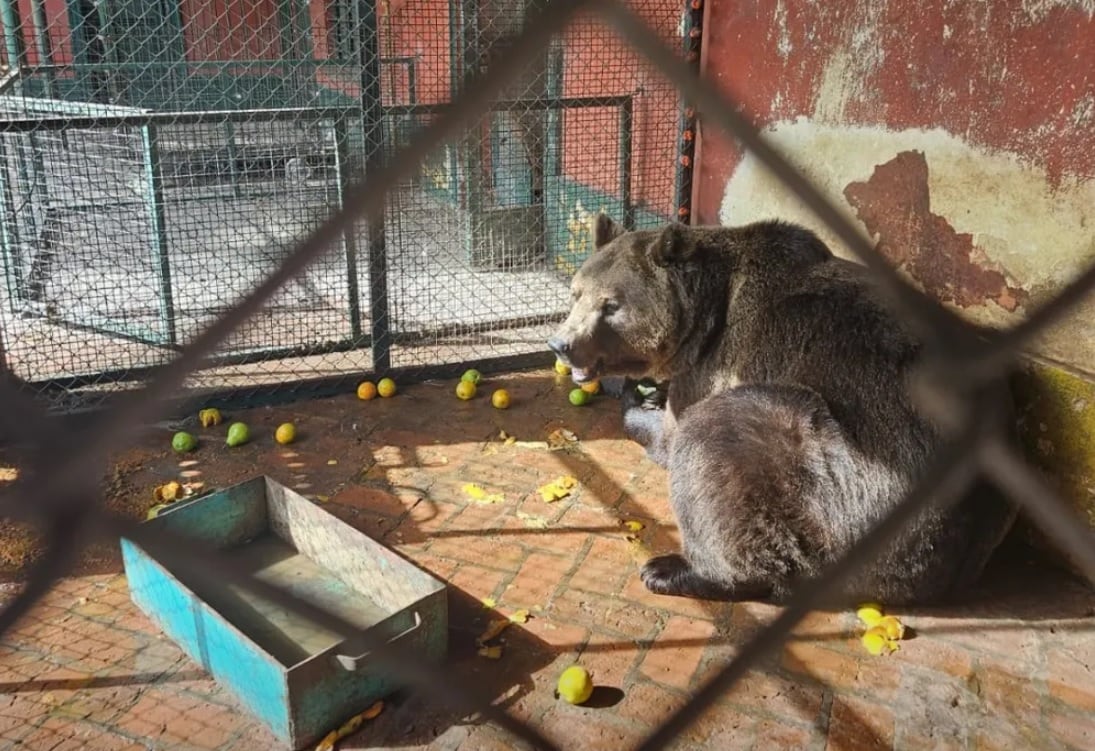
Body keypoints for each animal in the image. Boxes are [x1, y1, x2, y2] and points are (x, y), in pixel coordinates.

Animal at [548, 215, 1018, 606]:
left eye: (611, 305)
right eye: (575, 294)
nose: (562, 343)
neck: (703, 317)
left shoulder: (714, 365)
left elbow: (672, 435)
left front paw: (636, 400)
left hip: (845, 484)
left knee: (718, 438)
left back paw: (675, 570)